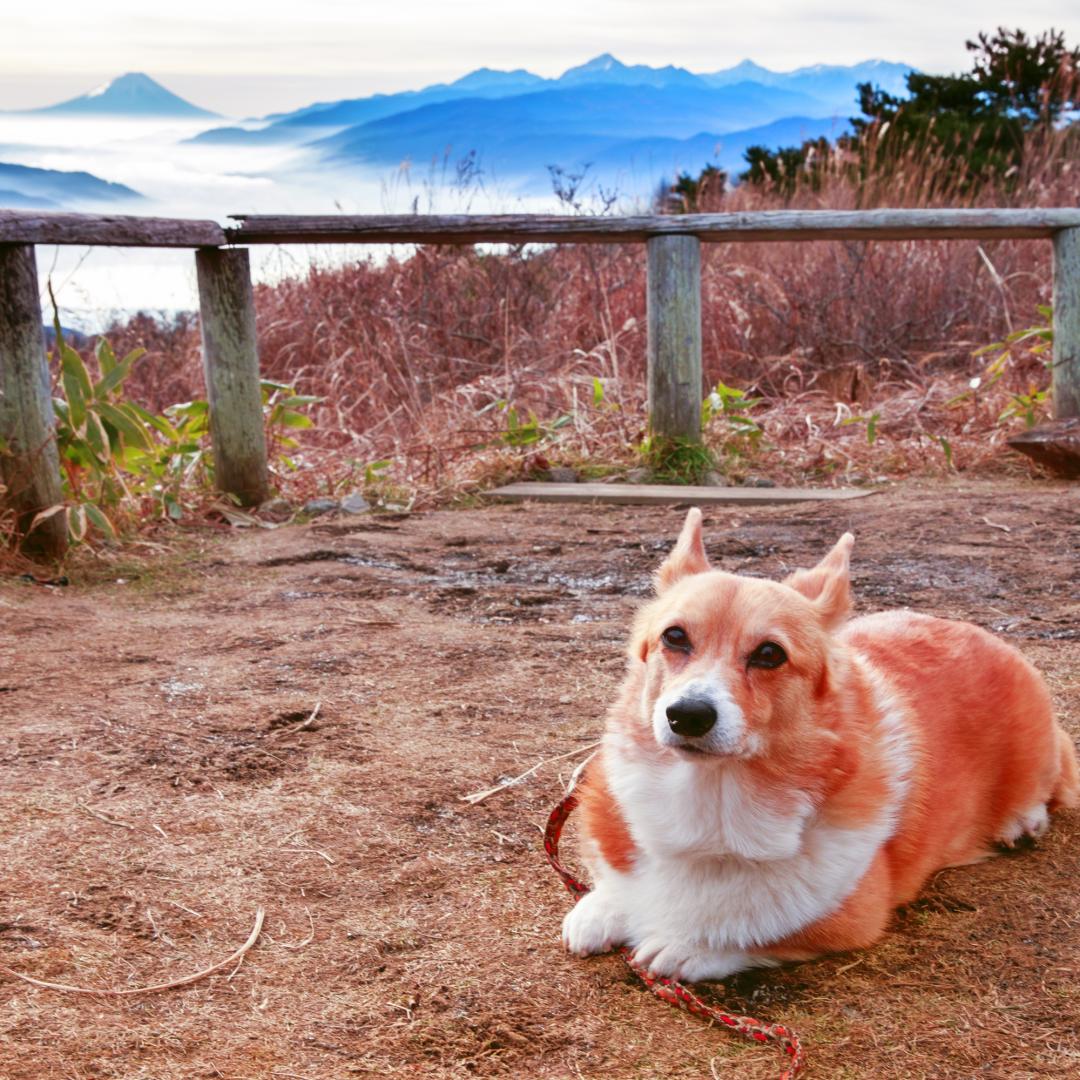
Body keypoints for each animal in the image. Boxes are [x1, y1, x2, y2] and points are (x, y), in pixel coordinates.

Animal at [561, 509, 1075, 984]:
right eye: (674, 637)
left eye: (770, 654)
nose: (687, 715)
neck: (711, 797)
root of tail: (982, 631)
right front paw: (602, 908)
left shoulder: (852, 915)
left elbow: (760, 931)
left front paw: (688, 946)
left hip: (1035, 750)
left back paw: (1023, 822)